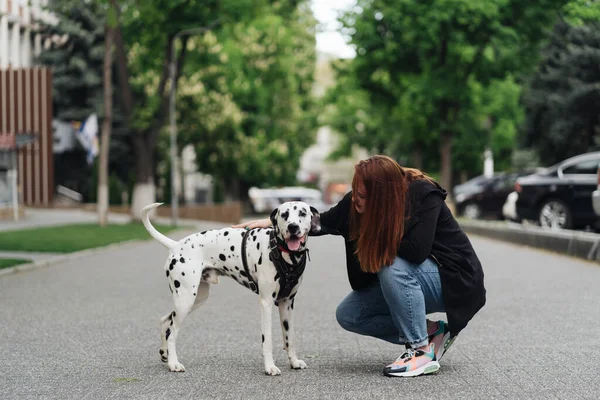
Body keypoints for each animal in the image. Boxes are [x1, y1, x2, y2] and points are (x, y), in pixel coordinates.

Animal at [141, 203, 322, 376]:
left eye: (302, 213)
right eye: (284, 214)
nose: (293, 227)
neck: (281, 251)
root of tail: (176, 245)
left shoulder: (287, 303)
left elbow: (290, 337)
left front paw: (294, 362)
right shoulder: (266, 303)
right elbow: (268, 340)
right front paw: (270, 367)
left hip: (195, 299)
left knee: (166, 320)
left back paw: (165, 354)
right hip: (185, 299)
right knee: (172, 332)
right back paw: (174, 364)